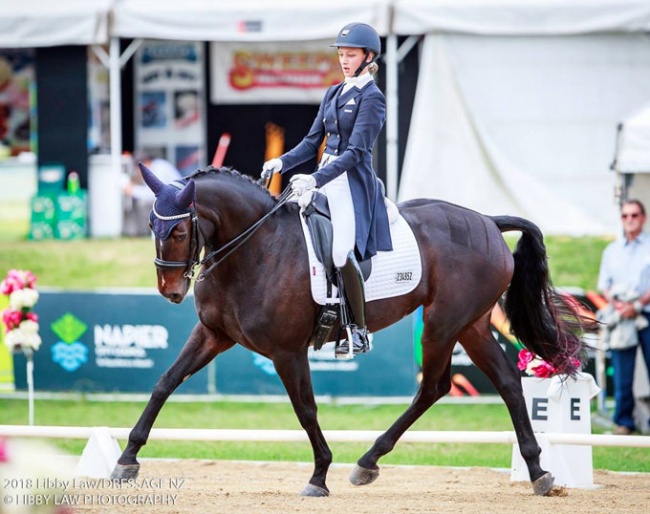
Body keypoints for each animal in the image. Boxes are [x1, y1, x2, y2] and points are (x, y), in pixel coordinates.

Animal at [110, 164, 588, 496]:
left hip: (442, 323)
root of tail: (488, 220)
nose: (171, 291)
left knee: (434, 386)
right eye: (151, 225)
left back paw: (370, 460)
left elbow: (306, 410)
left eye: (178, 229)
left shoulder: (286, 352)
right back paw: (537, 471)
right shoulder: (213, 334)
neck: (255, 249)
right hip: (470, 324)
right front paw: (127, 458)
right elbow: (164, 382)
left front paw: (319, 475)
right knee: (503, 383)